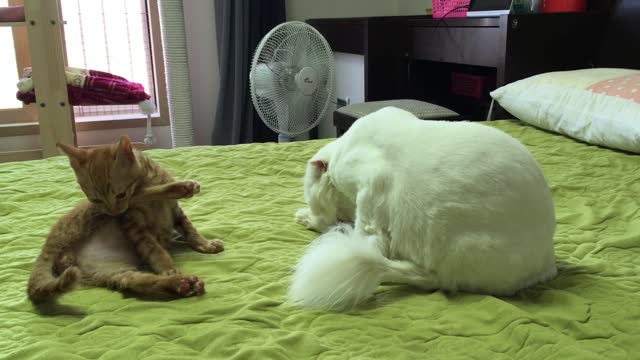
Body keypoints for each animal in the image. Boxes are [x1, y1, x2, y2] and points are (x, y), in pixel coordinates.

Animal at [26, 136, 222, 302]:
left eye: (120, 194)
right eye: (96, 199)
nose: (114, 212)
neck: (147, 180)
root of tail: (48, 247)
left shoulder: (174, 211)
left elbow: (189, 229)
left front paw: (204, 244)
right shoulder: (131, 221)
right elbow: (153, 248)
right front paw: (167, 268)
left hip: (110, 270)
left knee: (133, 280)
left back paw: (181, 285)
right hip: (91, 216)